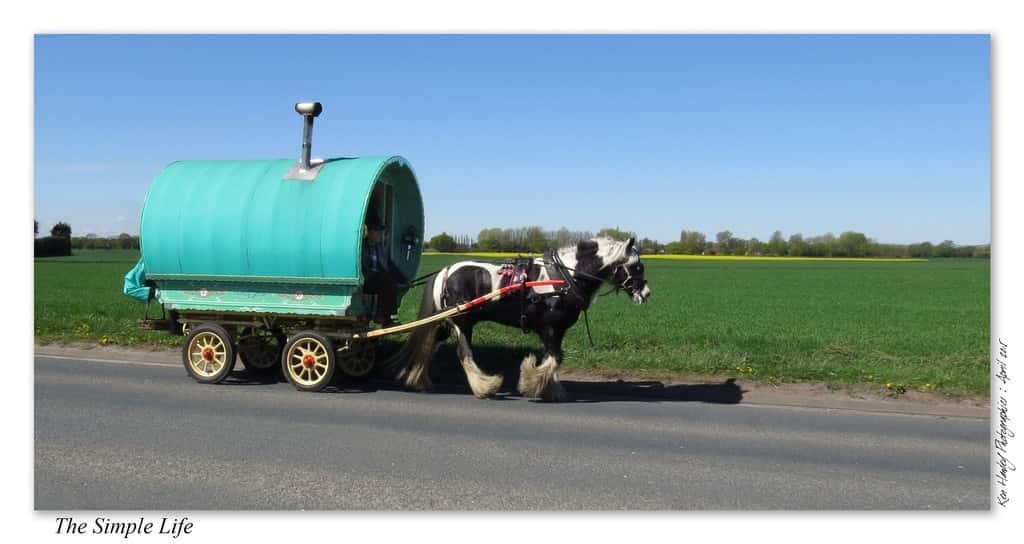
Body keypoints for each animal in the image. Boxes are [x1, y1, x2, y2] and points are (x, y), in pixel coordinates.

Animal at [393, 237, 650, 402]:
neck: (564, 276)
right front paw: (532, 384)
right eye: (637, 266)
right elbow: (554, 358)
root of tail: (445, 271)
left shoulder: (557, 330)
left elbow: (554, 358)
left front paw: (550, 390)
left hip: (447, 323)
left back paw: (419, 381)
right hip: (462, 322)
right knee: (463, 353)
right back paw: (485, 387)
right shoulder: (550, 327)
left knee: (427, 347)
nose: (646, 293)